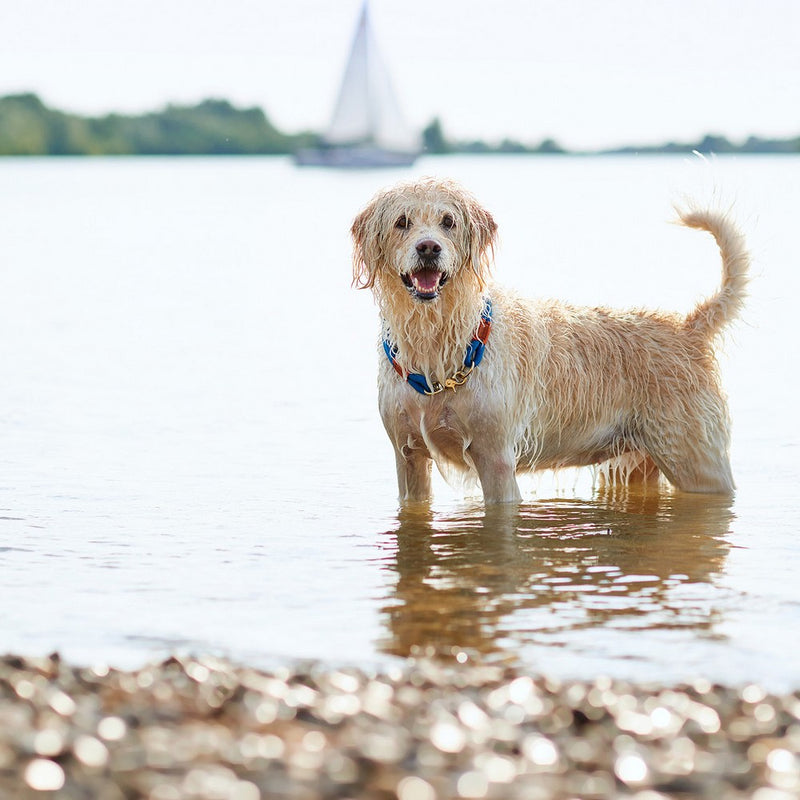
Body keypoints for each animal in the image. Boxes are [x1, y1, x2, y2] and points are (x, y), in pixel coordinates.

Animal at [352, 178, 752, 504]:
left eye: (448, 222)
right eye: (402, 222)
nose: (429, 248)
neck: (436, 339)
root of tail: (688, 328)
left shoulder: (496, 460)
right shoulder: (408, 459)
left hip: (697, 462)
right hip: (640, 463)